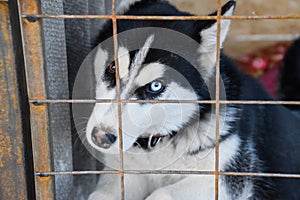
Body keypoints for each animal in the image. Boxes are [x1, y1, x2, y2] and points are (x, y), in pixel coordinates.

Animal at [84, 0, 300, 199]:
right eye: (113, 67)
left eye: (156, 86)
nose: (100, 137)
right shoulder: (127, 171)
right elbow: (100, 194)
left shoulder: (225, 178)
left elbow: (161, 193)